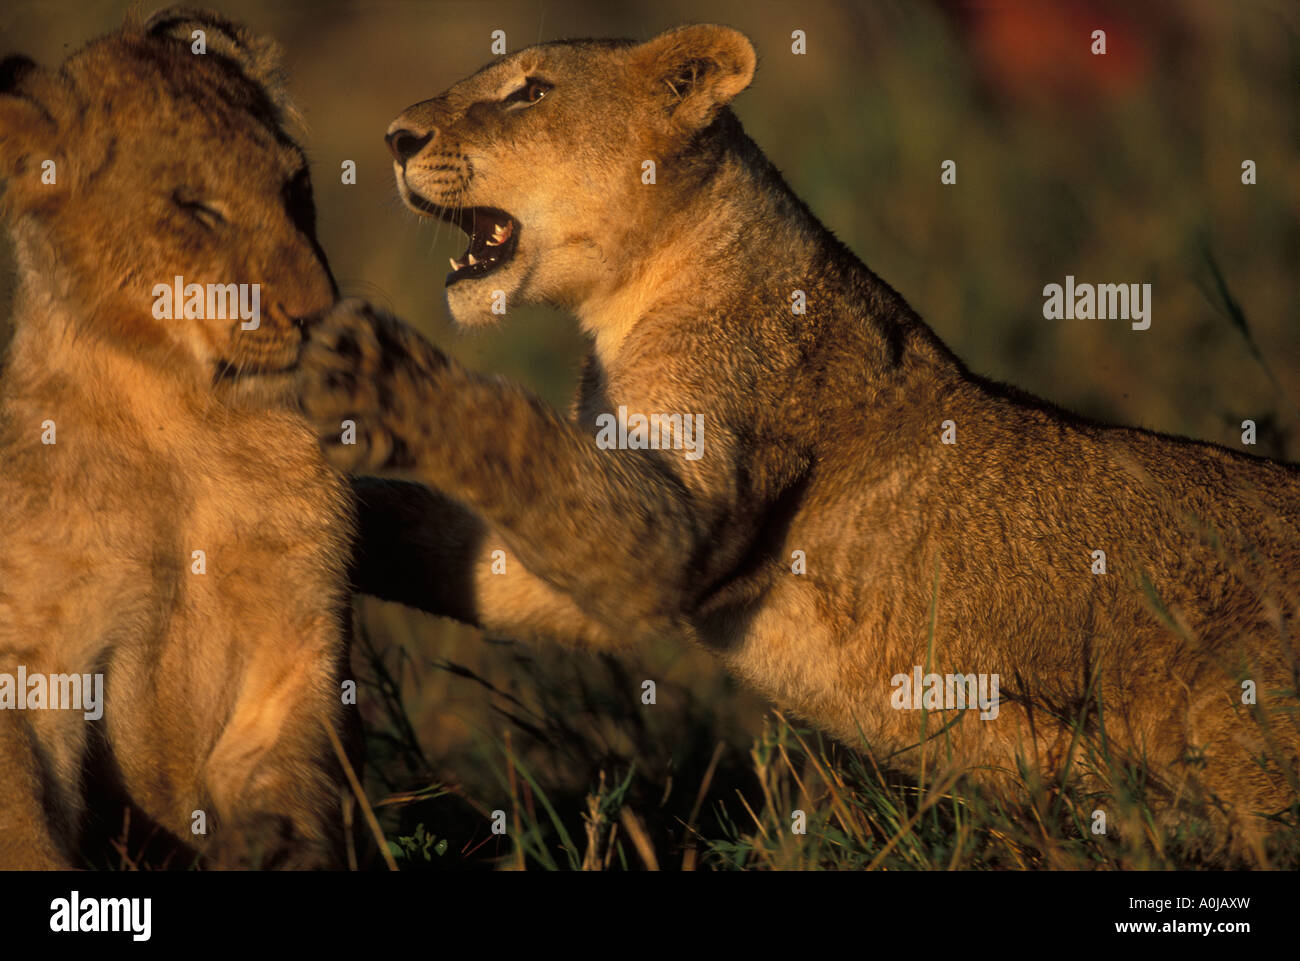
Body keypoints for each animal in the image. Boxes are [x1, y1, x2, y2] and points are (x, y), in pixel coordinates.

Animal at [0, 8, 355, 868]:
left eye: (295, 188)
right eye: (196, 207)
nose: (319, 311)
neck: (179, 417)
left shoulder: (296, 630)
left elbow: (289, 762)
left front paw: (274, 847)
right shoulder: (31, 651)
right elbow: (20, 810)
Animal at [298, 25, 1300, 858]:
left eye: (530, 92)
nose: (394, 138)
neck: (624, 302)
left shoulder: (686, 517)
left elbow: (527, 448)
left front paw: (380, 372)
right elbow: (468, 545)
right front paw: (337, 521)